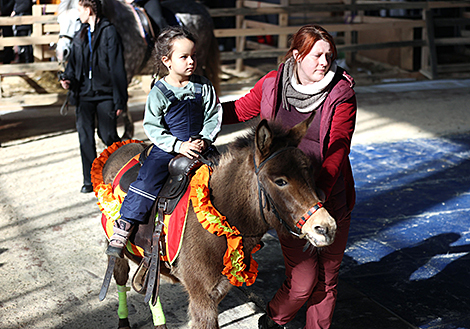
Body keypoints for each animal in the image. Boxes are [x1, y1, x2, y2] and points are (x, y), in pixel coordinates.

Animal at [56, 0, 221, 137]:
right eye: (59, 21)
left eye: (78, 20)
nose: (61, 52)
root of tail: (202, 9)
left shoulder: (124, 73)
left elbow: (122, 101)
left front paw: (126, 133)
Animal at [97, 116, 336, 326]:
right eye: (280, 181)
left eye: (310, 174)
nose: (327, 228)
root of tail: (119, 148)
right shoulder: (202, 299)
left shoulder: (218, 291)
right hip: (116, 251)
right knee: (120, 276)